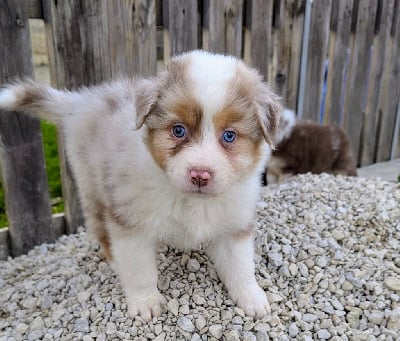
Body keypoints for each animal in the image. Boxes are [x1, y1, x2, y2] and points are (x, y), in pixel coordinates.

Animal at [0, 49, 282, 318]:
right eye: (178, 130)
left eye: (230, 135)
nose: (200, 175)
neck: (189, 199)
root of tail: (83, 101)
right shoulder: (131, 223)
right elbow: (140, 270)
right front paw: (146, 303)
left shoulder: (235, 224)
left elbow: (240, 266)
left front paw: (252, 299)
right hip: (92, 189)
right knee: (101, 230)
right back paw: (114, 260)